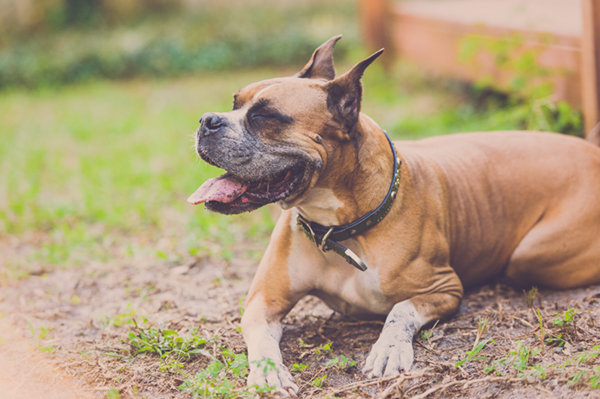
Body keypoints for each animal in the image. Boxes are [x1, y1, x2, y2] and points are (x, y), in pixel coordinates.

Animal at [189, 35, 600, 396]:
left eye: (265, 116)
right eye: (234, 103)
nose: (208, 120)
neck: (340, 229)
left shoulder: (443, 289)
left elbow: (400, 310)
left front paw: (389, 348)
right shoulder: (262, 302)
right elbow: (260, 338)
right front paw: (269, 373)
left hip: (529, 257)